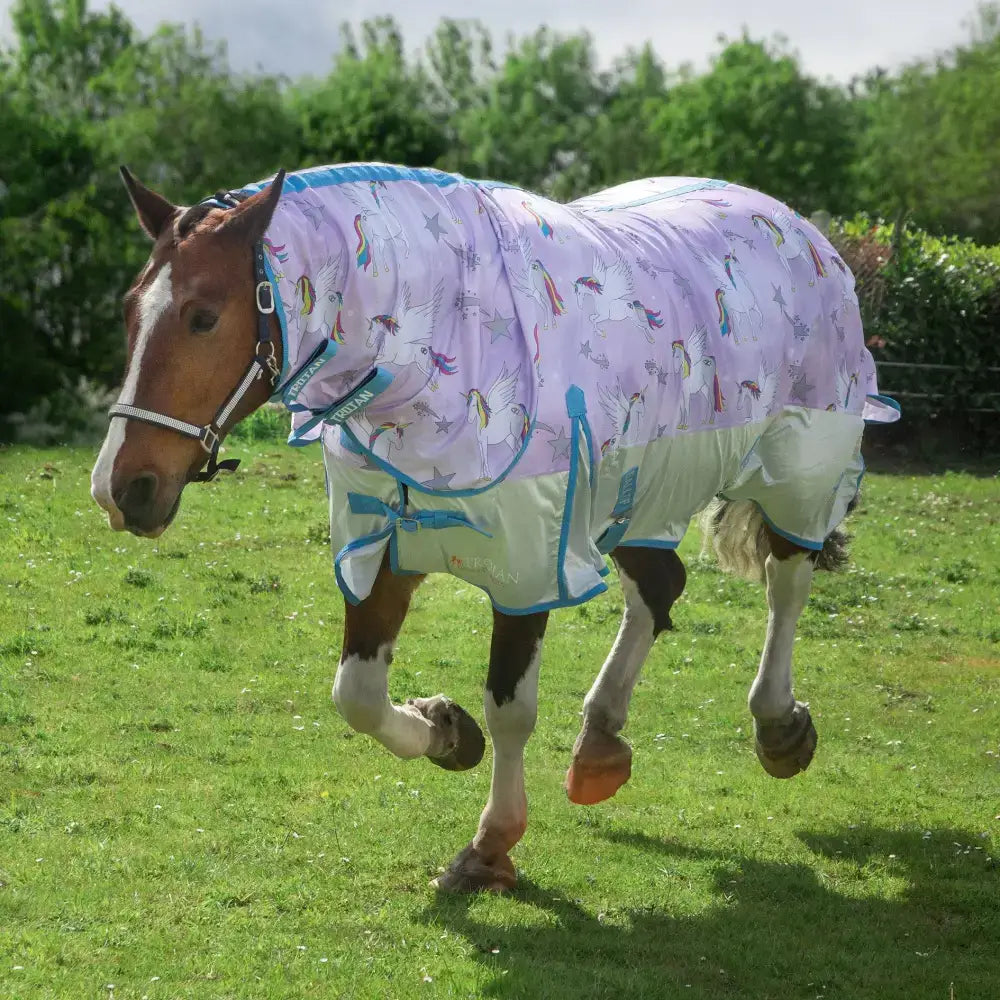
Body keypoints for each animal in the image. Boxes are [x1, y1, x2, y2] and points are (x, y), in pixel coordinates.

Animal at [91, 163, 898, 894]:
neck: (436, 364)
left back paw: (778, 726)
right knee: (660, 588)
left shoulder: (529, 568)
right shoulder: (382, 547)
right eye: (130, 311)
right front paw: (446, 732)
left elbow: (510, 709)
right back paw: (600, 740)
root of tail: (800, 229)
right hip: (639, 492)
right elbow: (357, 696)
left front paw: (491, 843)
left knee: (786, 583)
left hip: (797, 471)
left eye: (203, 315)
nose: (122, 489)